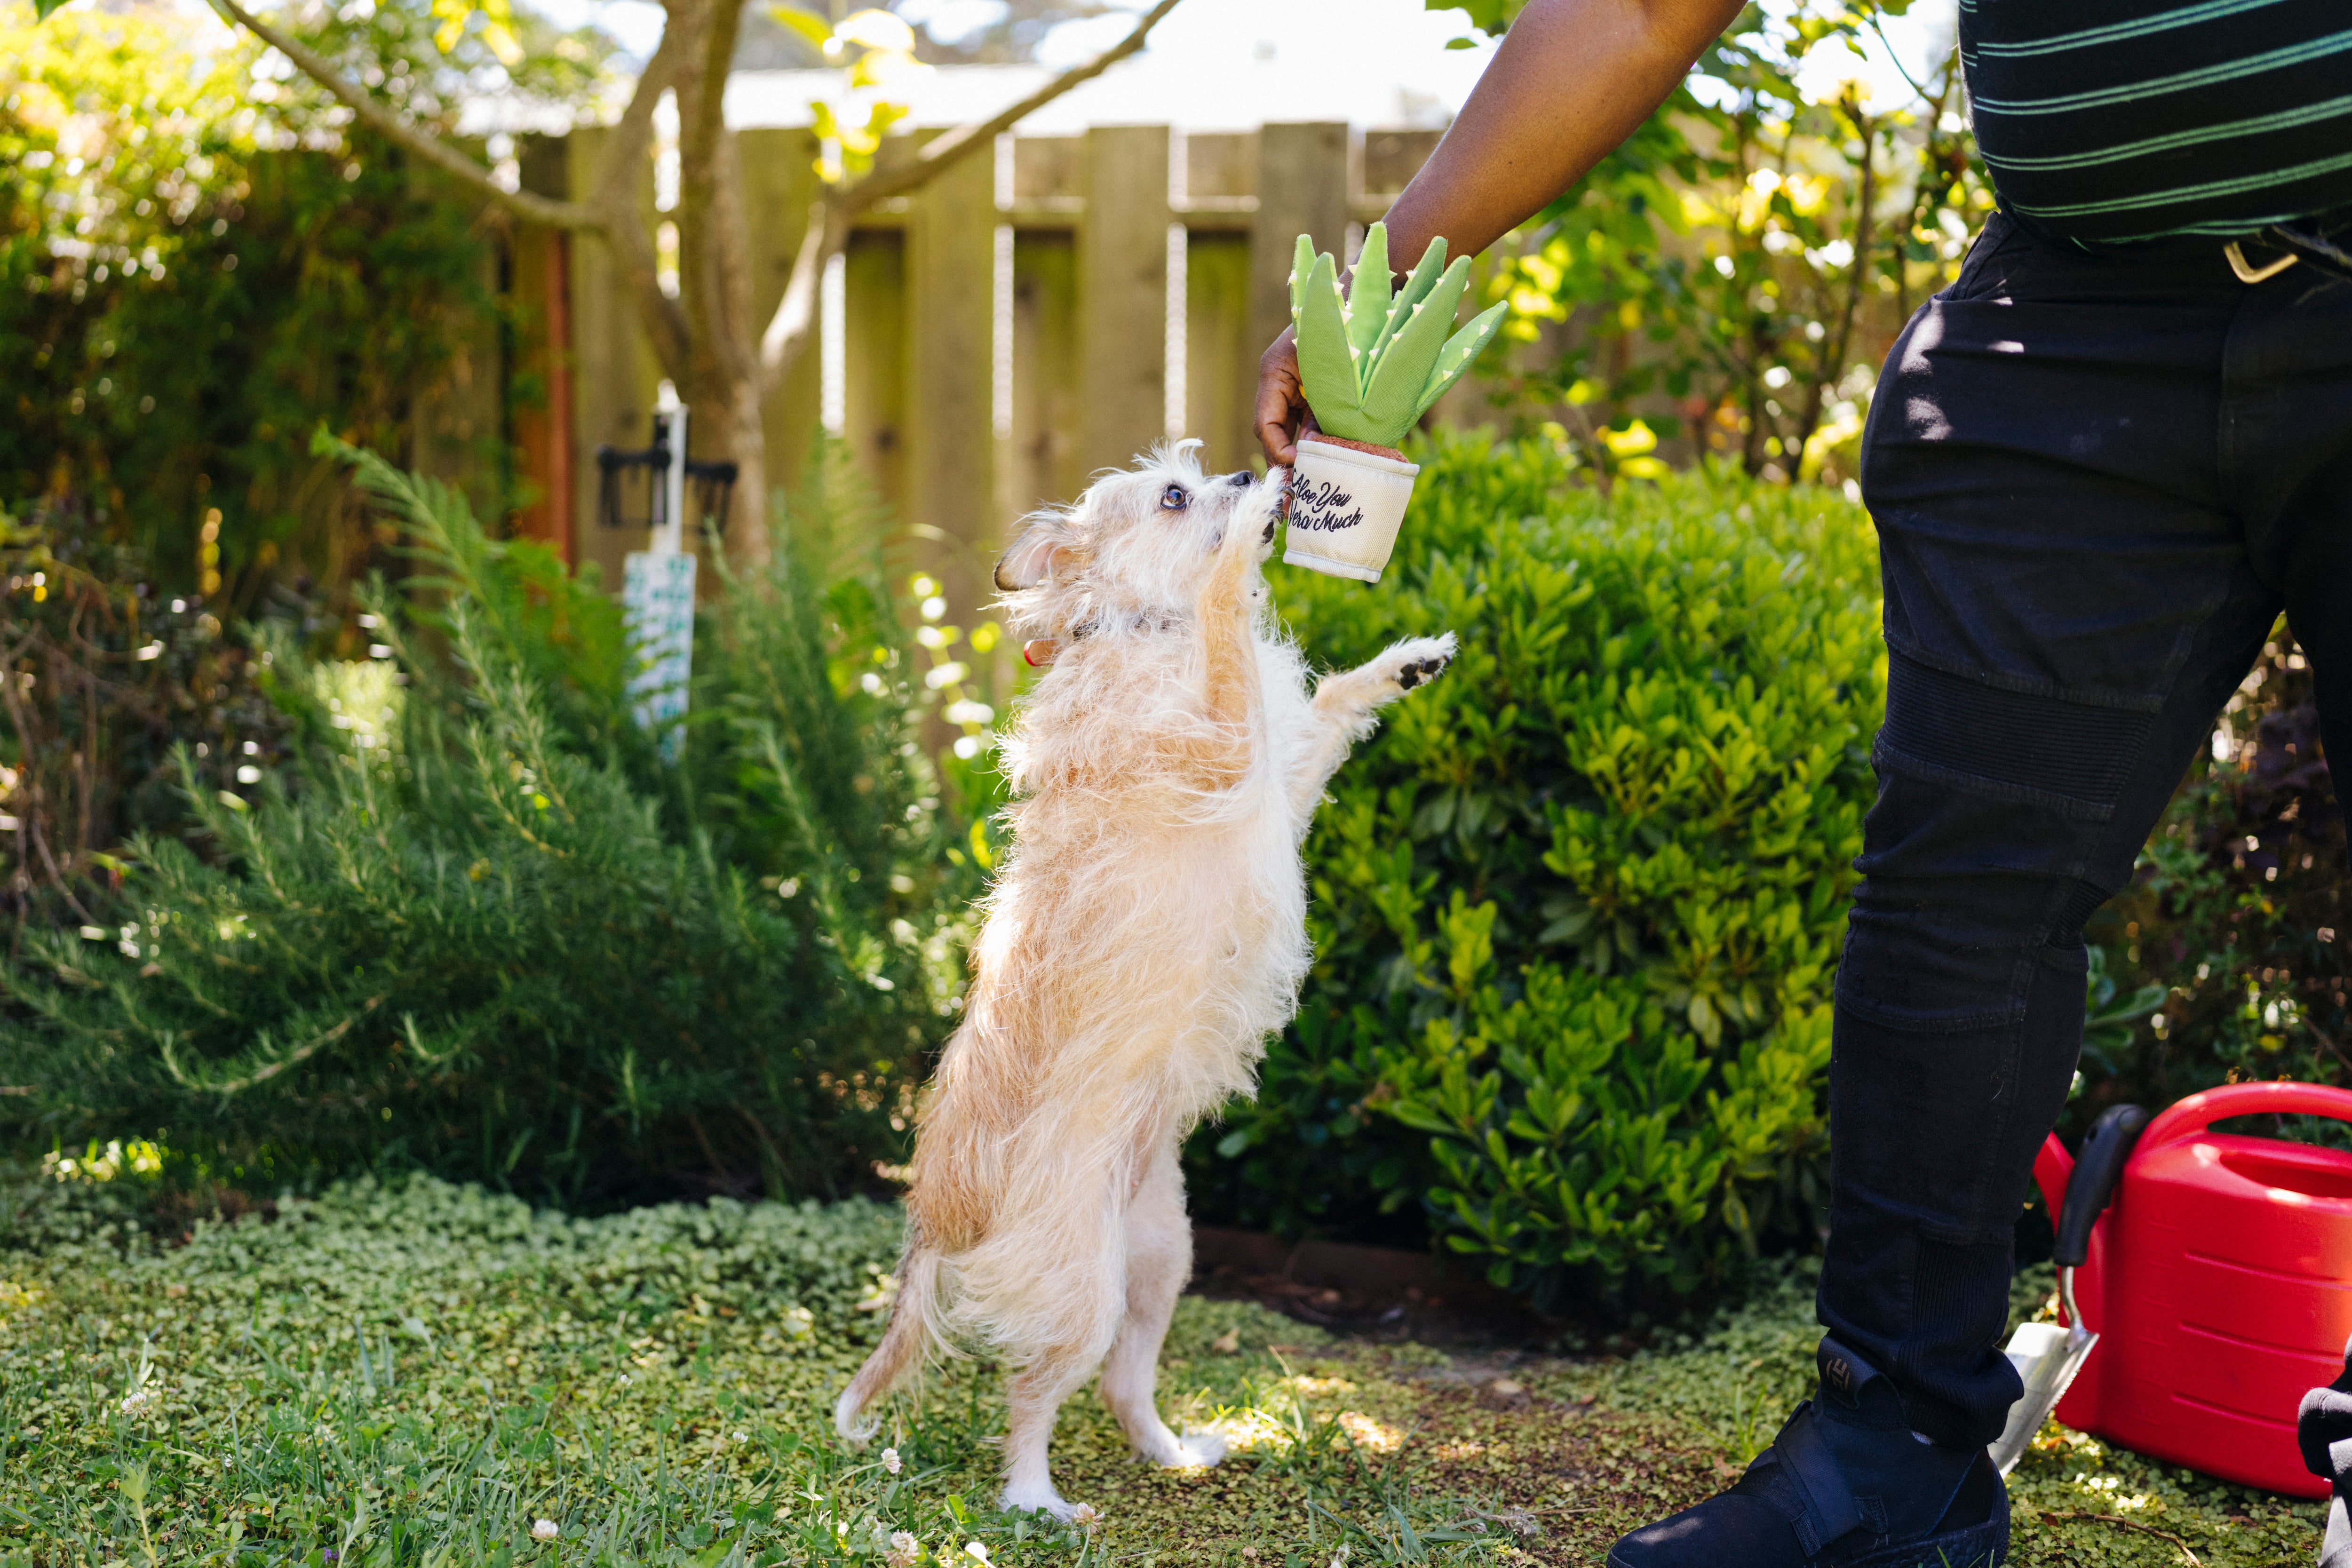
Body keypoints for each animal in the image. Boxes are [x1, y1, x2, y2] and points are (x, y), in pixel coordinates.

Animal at [828, 442, 1449, 1523]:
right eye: (1172, 494)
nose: (1249, 474)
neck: (1152, 630)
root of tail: (937, 1209)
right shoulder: (1228, 750)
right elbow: (1228, 625)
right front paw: (1241, 546)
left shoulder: (1275, 784)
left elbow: (1330, 704)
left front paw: (1403, 662)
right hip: (1082, 1287)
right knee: (1031, 1397)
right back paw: (1037, 1499)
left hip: (1161, 1260)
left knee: (1124, 1380)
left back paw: (1171, 1451)